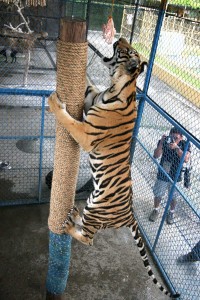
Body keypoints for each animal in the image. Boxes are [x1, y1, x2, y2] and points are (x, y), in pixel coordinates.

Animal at [48, 37, 180, 298]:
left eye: (128, 50)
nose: (118, 38)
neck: (115, 87)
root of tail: (130, 214)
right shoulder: (91, 97)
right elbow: (87, 84)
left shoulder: (86, 134)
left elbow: (68, 120)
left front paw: (54, 103)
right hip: (92, 203)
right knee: (86, 228)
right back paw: (73, 214)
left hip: (97, 208)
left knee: (88, 239)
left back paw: (67, 225)